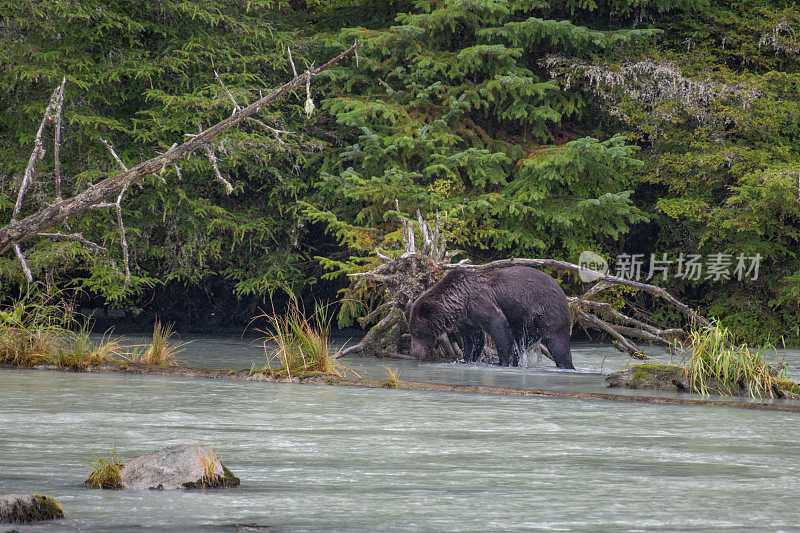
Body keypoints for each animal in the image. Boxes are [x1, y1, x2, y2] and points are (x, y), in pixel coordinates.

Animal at [410, 268, 572, 368]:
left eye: (417, 332)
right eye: (412, 332)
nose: (414, 352)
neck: (461, 303)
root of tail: (561, 289)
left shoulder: (481, 302)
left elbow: (499, 327)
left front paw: (503, 362)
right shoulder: (468, 321)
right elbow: (473, 341)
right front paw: (467, 359)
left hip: (548, 311)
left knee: (557, 342)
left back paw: (565, 365)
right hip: (528, 325)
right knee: (522, 342)